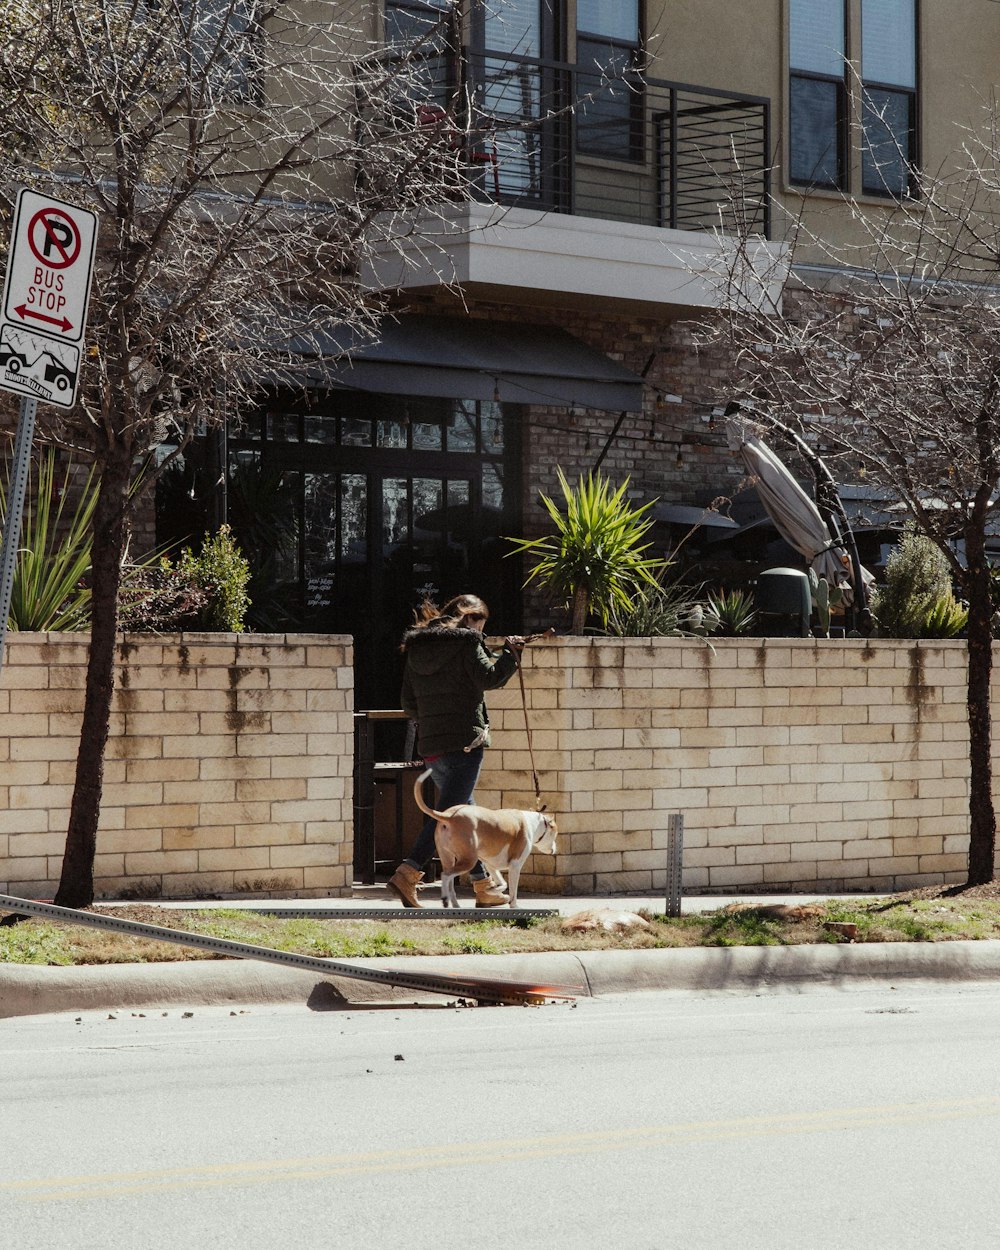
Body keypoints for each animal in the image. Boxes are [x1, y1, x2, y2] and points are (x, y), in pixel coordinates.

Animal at [412, 760, 557, 910]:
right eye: (556, 833)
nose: (554, 849)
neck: (533, 822)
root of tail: (449, 816)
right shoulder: (515, 865)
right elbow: (513, 890)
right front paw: (514, 906)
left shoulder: (490, 864)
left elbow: (502, 883)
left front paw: (491, 890)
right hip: (468, 859)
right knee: (445, 876)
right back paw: (446, 899)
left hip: (448, 858)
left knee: (450, 882)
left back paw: (455, 904)